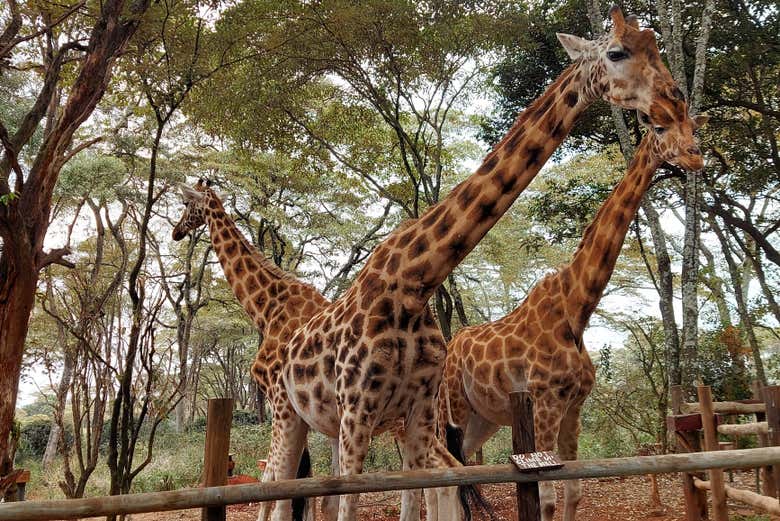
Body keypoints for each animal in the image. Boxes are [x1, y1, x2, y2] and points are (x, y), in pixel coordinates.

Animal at [441, 108, 707, 521]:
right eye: (660, 127)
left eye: (694, 127)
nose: (697, 158)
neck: (576, 309)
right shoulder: (547, 404)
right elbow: (547, 498)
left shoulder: (573, 408)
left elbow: (575, 491)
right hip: (452, 409)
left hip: (482, 419)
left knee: (456, 473)